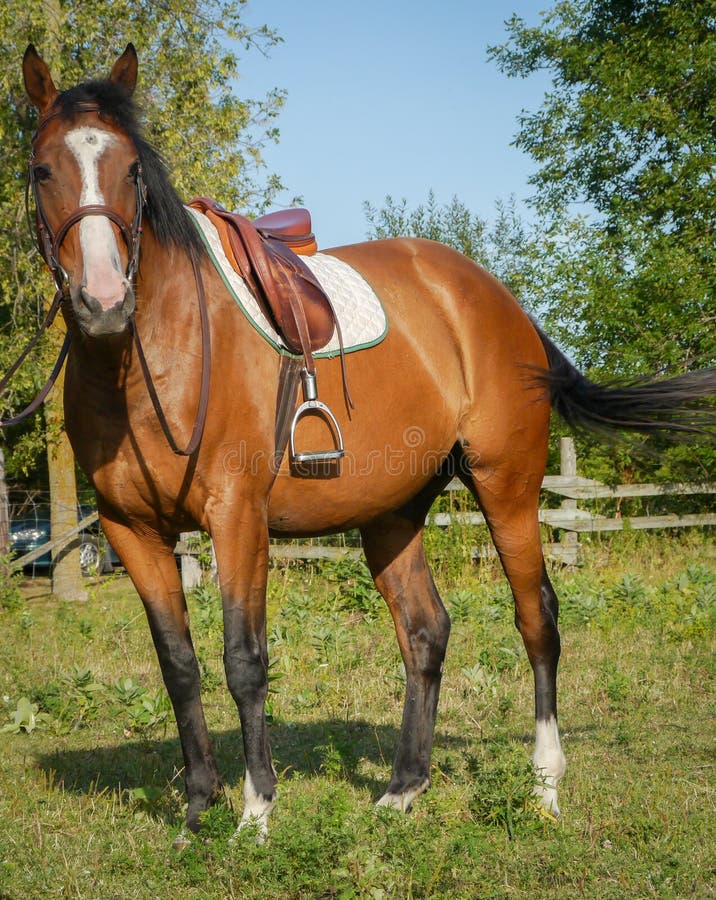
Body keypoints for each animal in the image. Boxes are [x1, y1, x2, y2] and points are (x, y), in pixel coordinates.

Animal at [19, 42, 712, 844]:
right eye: (42, 169)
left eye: (132, 170)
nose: (103, 300)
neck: (150, 356)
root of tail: (497, 299)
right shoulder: (132, 530)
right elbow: (179, 664)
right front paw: (196, 808)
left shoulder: (237, 519)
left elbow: (243, 660)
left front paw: (256, 813)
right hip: (392, 511)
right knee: (425, 631)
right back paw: (404, 788)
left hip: (507, 484)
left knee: (537, 617)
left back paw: (544, 784)